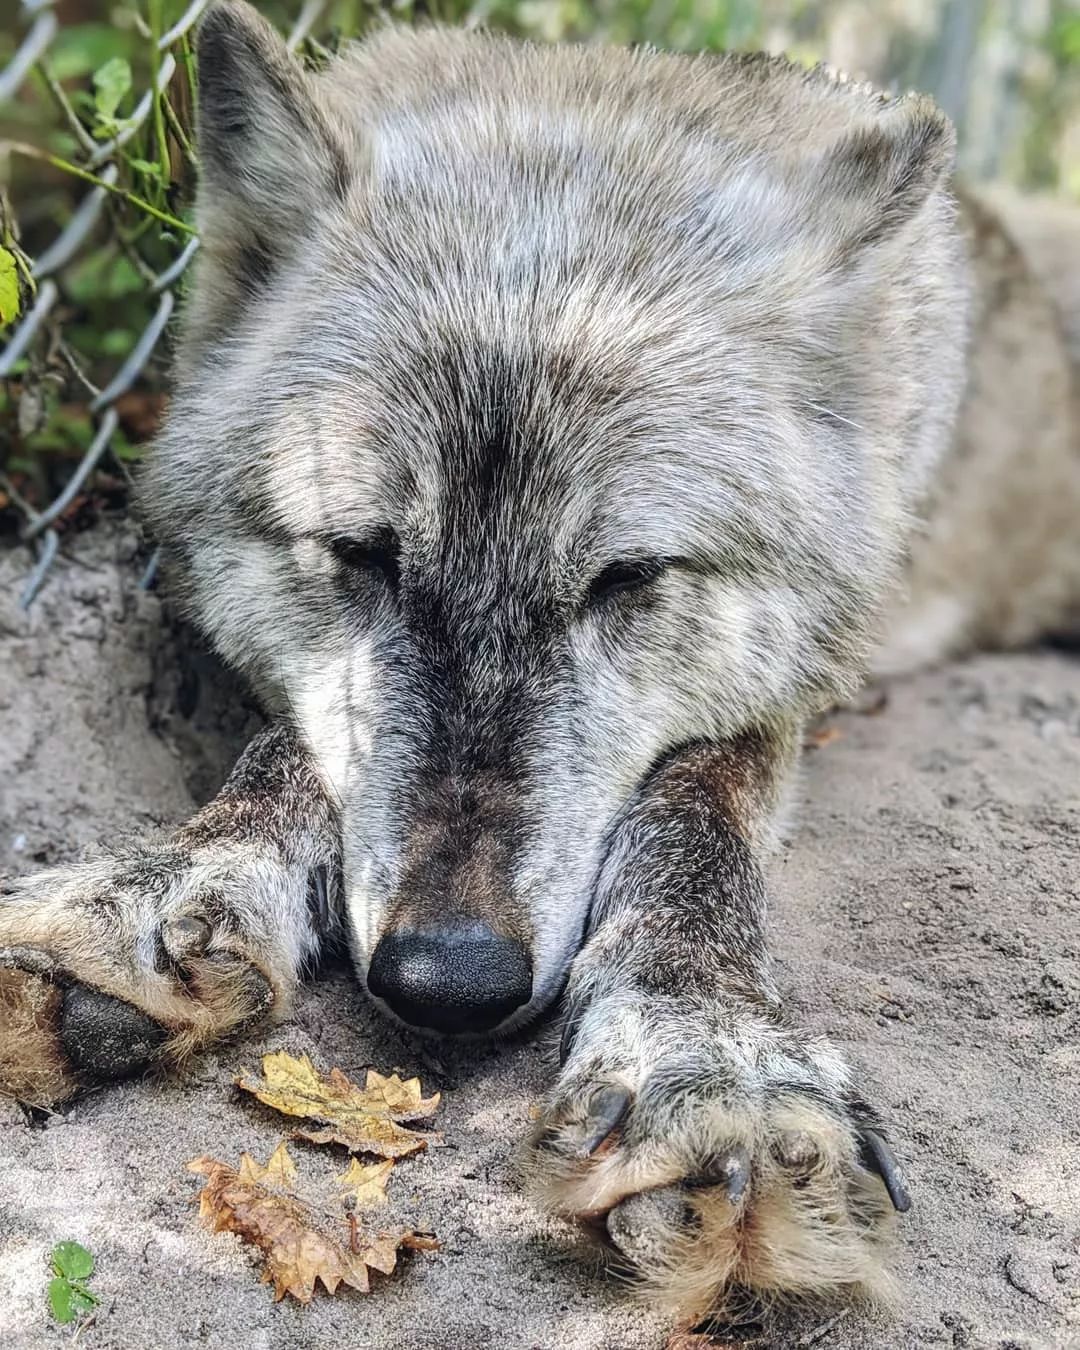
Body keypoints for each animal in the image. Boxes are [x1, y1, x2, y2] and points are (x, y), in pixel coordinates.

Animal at [2, 0, 1080, 1323]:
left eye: (626, 579)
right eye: (360, 555)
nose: (449, 980)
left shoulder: (790, 692)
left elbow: (694, 814)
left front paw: (704, 1040)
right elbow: (295, 744)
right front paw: (175, 879)